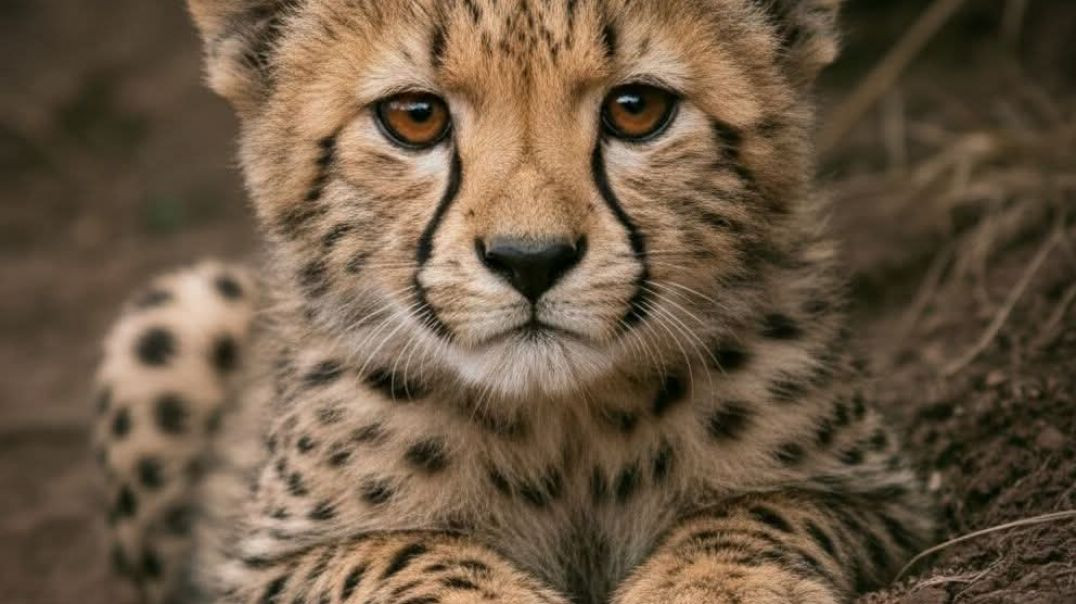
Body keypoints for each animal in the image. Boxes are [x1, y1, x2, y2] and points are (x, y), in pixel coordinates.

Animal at [92, 1, 935, 603]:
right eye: (415, 117)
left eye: (637, 108)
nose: (531, 261)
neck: (563, 425)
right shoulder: (267, 565)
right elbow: (402, 552)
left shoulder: (881, 499)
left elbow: (749, 513)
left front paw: (714, 591)